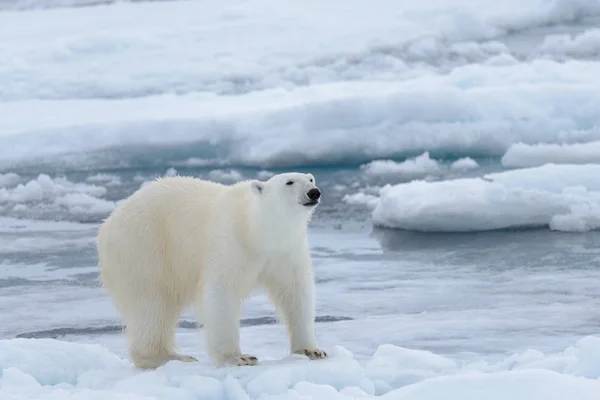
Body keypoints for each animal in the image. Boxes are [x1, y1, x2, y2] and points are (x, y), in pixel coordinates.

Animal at [97, 172, 328, 368]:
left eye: (310, 179)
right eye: (289, 182)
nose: (314, 192)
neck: (256, 229)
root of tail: (108, 223)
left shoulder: (287, 251)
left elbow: (296, 292)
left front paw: (312, 350)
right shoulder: (230, 244)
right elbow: (222, 295)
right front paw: (239, 357)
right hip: (144, 249)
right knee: (151, 304)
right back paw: (169, 356)